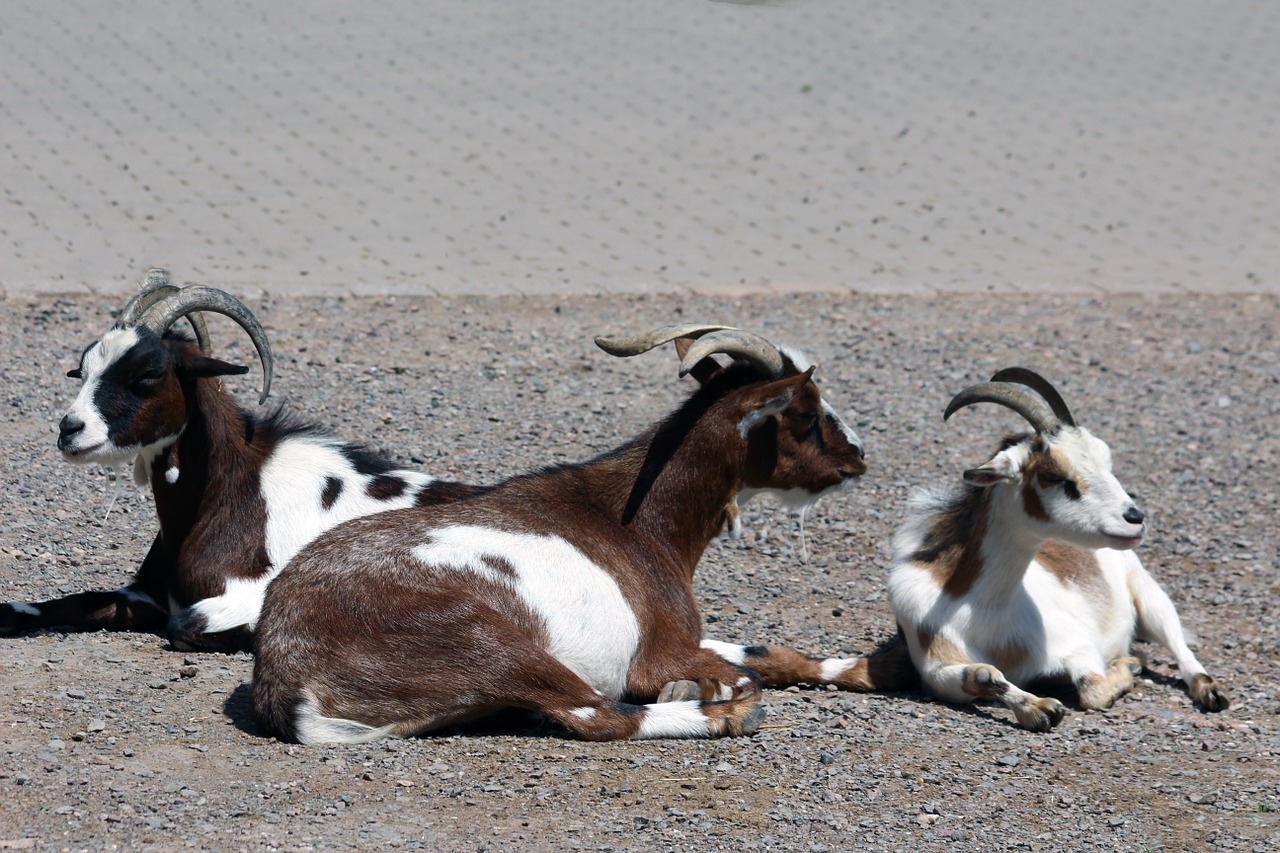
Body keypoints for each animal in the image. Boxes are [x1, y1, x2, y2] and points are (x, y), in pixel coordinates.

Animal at [2, 268, 478, 648]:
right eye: (82, 371)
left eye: (149, 374)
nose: (69, 429)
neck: (232, 488)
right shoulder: (145, 595)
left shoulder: (251, 588)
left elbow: (185, 623)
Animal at [249, 322, 870, 742]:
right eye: (807, 413)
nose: (858, 455)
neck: (639, 521)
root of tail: (288, 675)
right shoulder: (658, 652)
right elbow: (740, 673)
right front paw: (703, 690)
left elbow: (765, 651)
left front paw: (862, 669)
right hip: (488, 641)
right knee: (598, 715)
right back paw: (726, 716)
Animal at [885, 368, 1223, 727]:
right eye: (1056, 475)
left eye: (1106, 460)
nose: (1134, 518)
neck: (984, 612)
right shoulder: (935, 667)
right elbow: (982, 675)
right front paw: (1039, 707)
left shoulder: (1078, 646)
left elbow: (1093, 690)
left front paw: (1130, 665)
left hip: (1148, 594)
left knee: (1178, 643)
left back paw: (1210, 691)